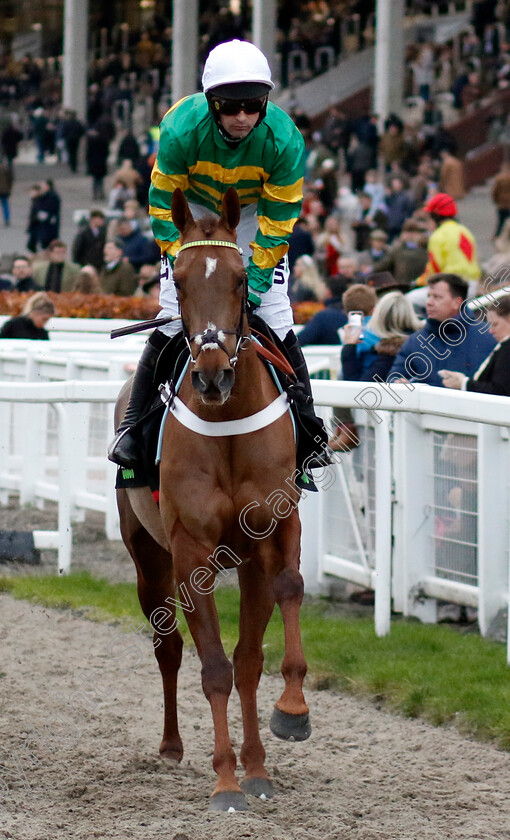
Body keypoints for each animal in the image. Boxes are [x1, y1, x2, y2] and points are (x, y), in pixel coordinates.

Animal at [115, 187, 310, 812]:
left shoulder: (274, 532)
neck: (227, 423)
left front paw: (285, 723)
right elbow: (215, 668)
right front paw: (226, 782)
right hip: (148, 555)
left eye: (239, 278)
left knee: (245, 656)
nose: (212, 375)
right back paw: (172, 746)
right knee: (169, 646)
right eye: (179, 280)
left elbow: (275, 614)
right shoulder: (191, 551)